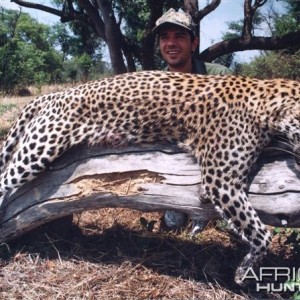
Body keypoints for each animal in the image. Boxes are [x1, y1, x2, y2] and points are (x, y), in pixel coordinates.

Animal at [0, 71, 300, 284]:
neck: (268, 101)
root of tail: (54, 95)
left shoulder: (221, 184)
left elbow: (239, 221)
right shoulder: (221, 179)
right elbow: (261, 232)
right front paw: (243, 271)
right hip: (39, 148)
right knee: (5, 179)